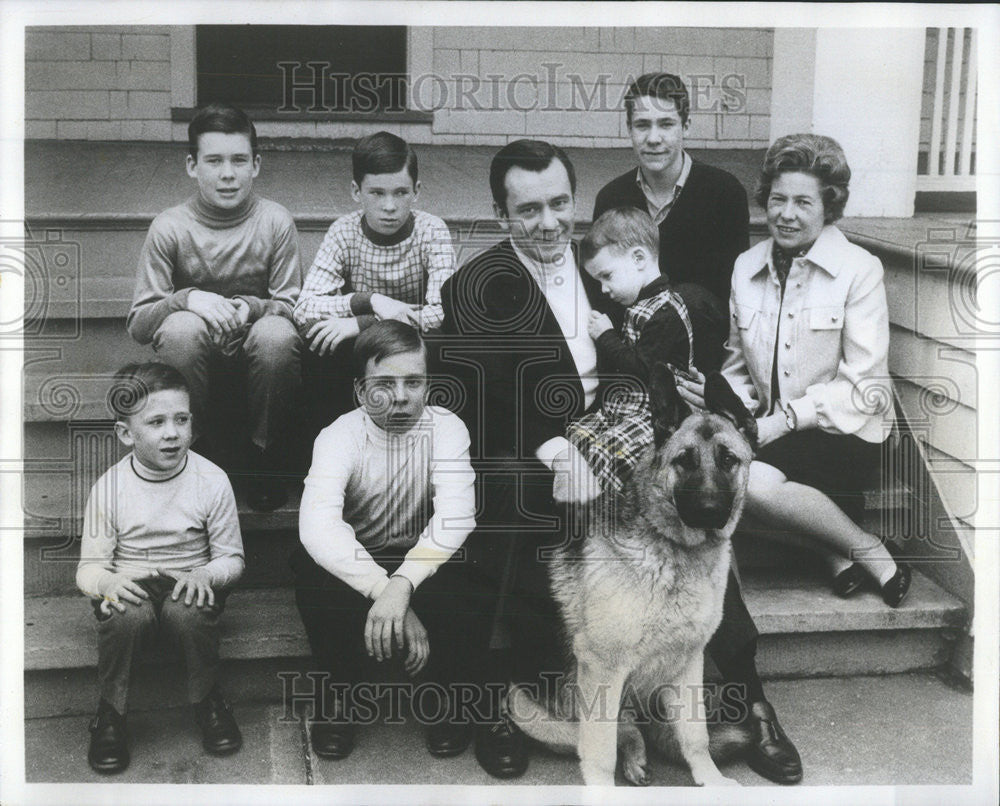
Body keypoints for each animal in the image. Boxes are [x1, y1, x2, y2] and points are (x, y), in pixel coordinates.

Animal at [512, 366, 752, 788]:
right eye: (684, 461)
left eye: (728, 460)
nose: (708, 510)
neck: (673, 551)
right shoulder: (601, 667)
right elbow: (600, 749)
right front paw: (603, 791)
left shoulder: (689, 662)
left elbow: (696, 735)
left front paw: (711, 780)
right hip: (527, 707)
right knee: (617, 730)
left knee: (634, 728)